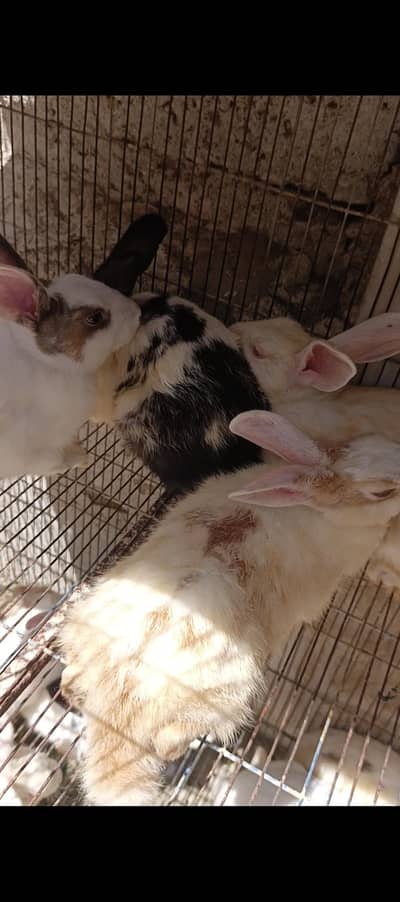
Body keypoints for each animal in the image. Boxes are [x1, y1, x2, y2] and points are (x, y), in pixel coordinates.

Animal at [0, 212, 166, 479]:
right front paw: (80, 457)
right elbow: (52, 460)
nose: (136, 314)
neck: (46, 363)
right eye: (94, 318)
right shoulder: (27, 453)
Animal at [59, 411, 400, 805]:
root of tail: (123, 695)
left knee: (70, 681)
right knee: (169, 741)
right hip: (228, 698)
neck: (321, 509)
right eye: (382, 491)